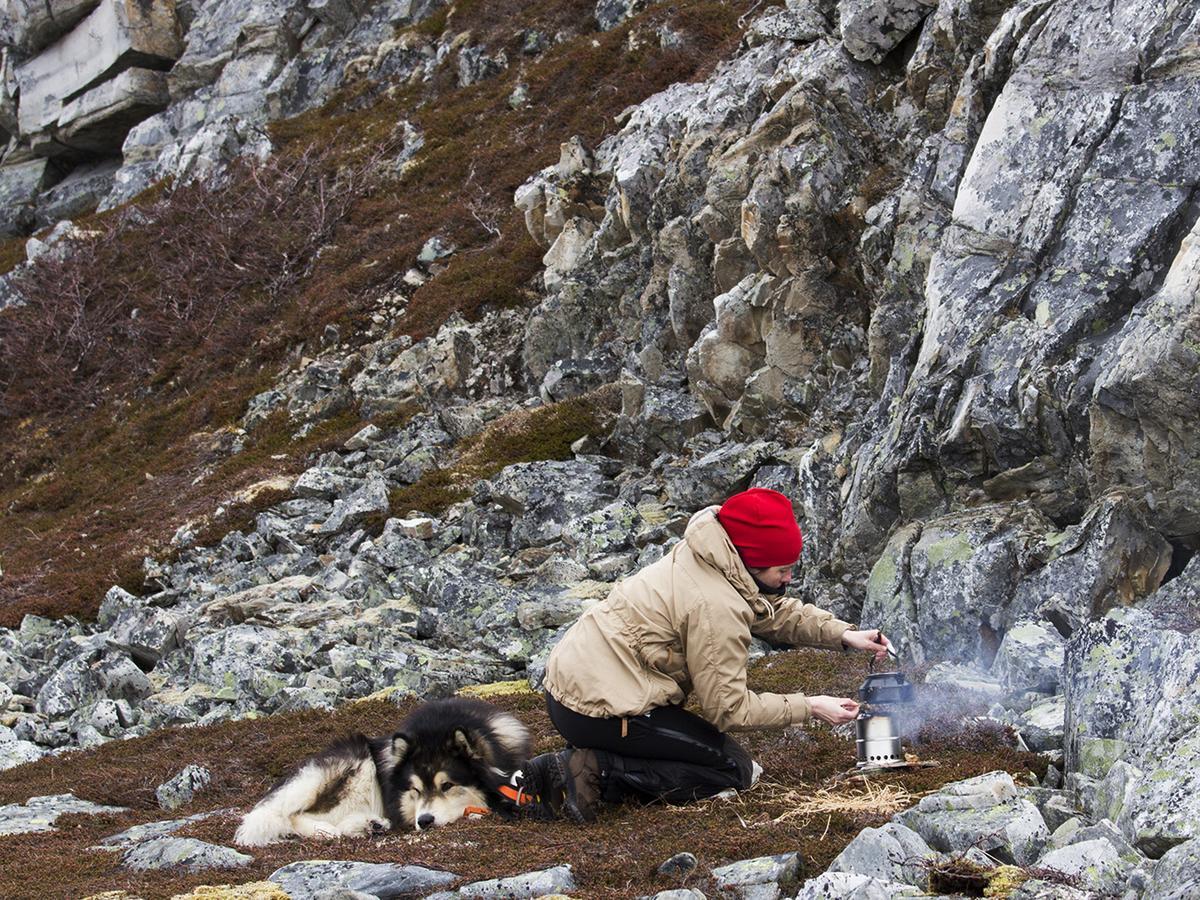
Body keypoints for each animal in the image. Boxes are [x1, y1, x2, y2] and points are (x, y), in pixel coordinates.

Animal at [234, 696, 530, 844]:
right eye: (415, 790)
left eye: (447, 785)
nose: (424, 821)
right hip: (356, 766)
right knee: (291, 816)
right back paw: (325, 831)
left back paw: (370, 825)